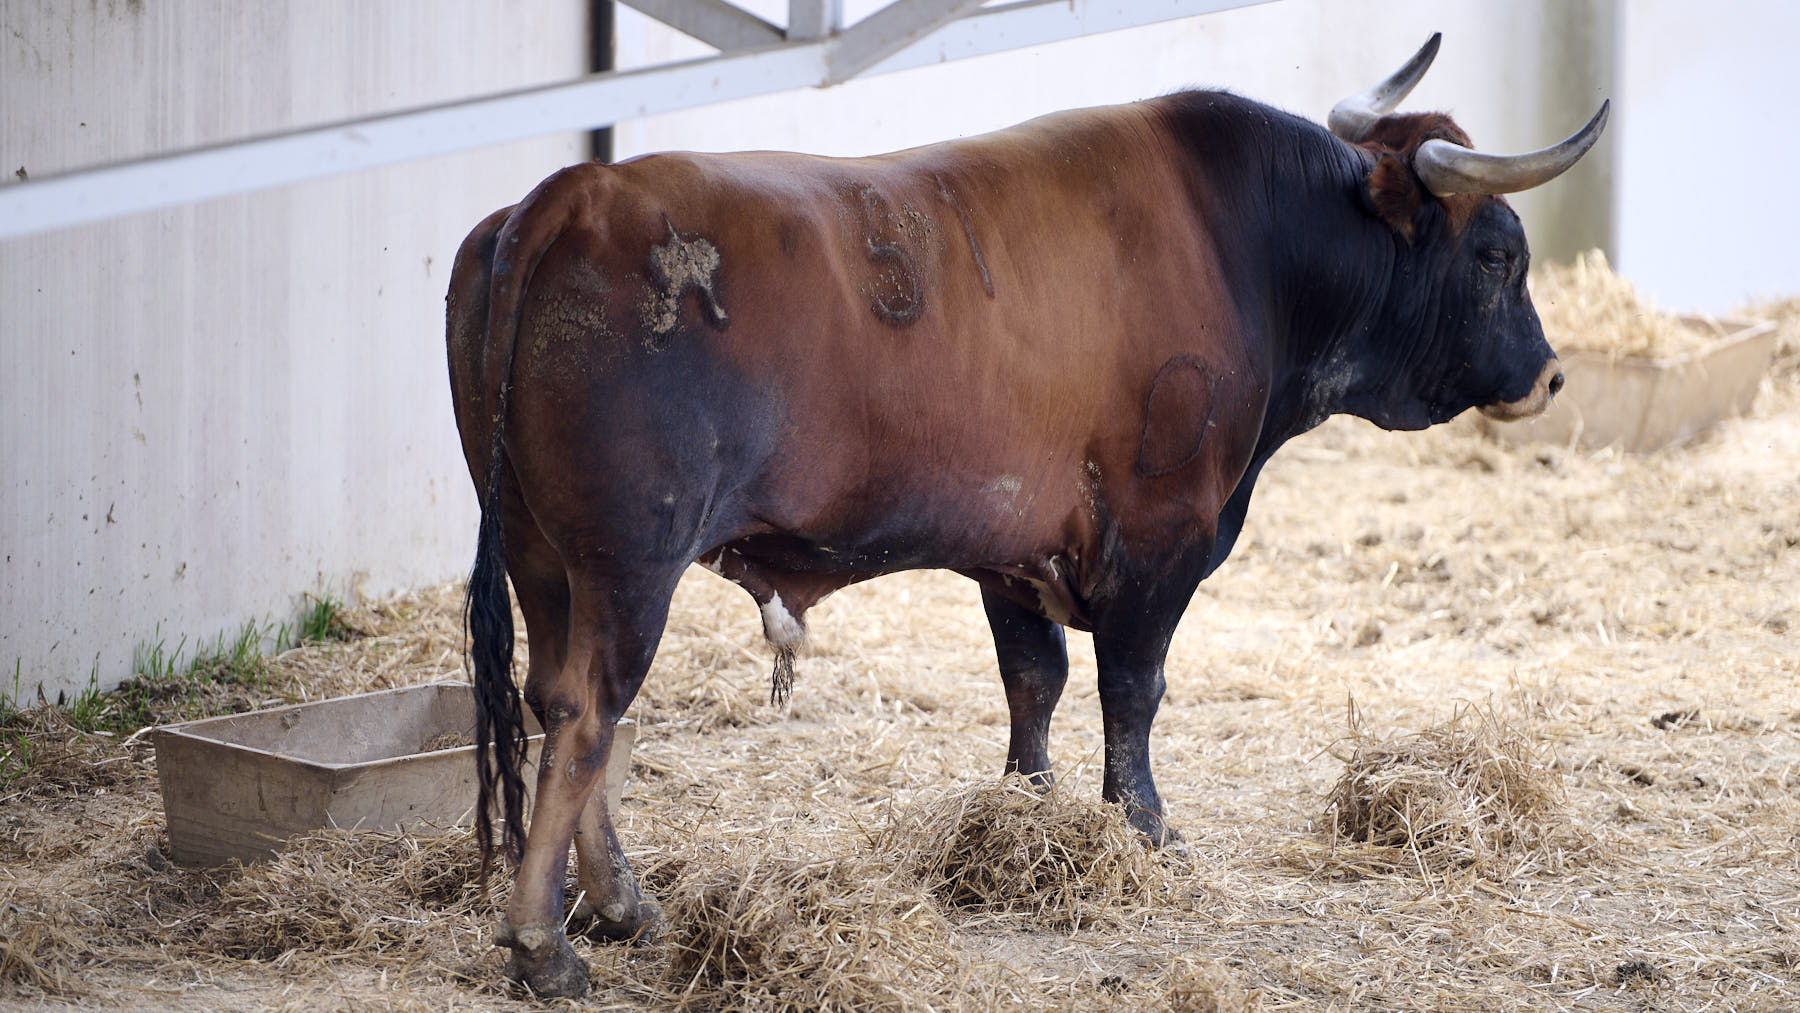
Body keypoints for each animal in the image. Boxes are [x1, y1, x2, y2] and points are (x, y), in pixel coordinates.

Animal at [446, 35, 1605, 993]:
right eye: (1497, 253)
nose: (1551, 376)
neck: (1245, 243)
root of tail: (574, 194)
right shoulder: (1163, 536)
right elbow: (1132, 693)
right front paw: (1145, 828)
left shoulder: (1013, 549)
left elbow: (1032, 682)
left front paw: (1024, 812)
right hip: (628, 563)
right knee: (588, 716)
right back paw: (544, 942)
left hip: (544, 557)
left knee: (555, 699)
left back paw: (621, 904)